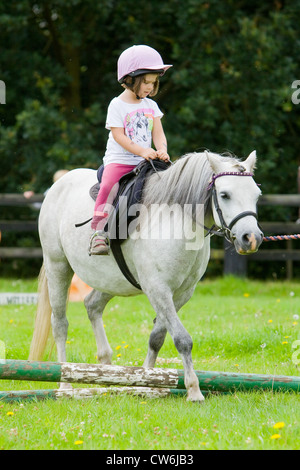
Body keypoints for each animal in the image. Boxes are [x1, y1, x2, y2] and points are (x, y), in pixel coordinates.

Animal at [28, 151, 262, 400]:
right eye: (225, 194)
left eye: (256, 195)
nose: (251, 238)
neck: (175, 222)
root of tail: (60, 184)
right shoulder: (158, 289)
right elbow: (182, 339)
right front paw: (193, 390)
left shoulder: (181, 293)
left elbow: (157, 338)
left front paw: (146, 381)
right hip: (58, 266)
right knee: (60, 324)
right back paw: (65, 385)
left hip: (111, 280)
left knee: (92, 305)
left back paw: (105, 370)